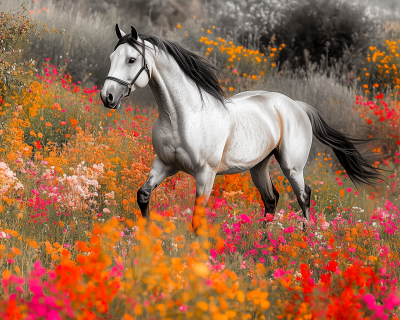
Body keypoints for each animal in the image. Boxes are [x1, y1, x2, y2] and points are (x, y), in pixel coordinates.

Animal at [101, 25, 382, 232]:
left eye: (131, 59)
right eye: (112, 57)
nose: (107, 97)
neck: (182, 116)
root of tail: (297, 106)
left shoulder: (205, 174)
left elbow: (197, 218)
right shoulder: (165, 164)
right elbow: (143, 195)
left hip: (292, 167)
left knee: (303, 196)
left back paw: (306, 239)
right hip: (259, 167)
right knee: (271, 199)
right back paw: (264, 243)